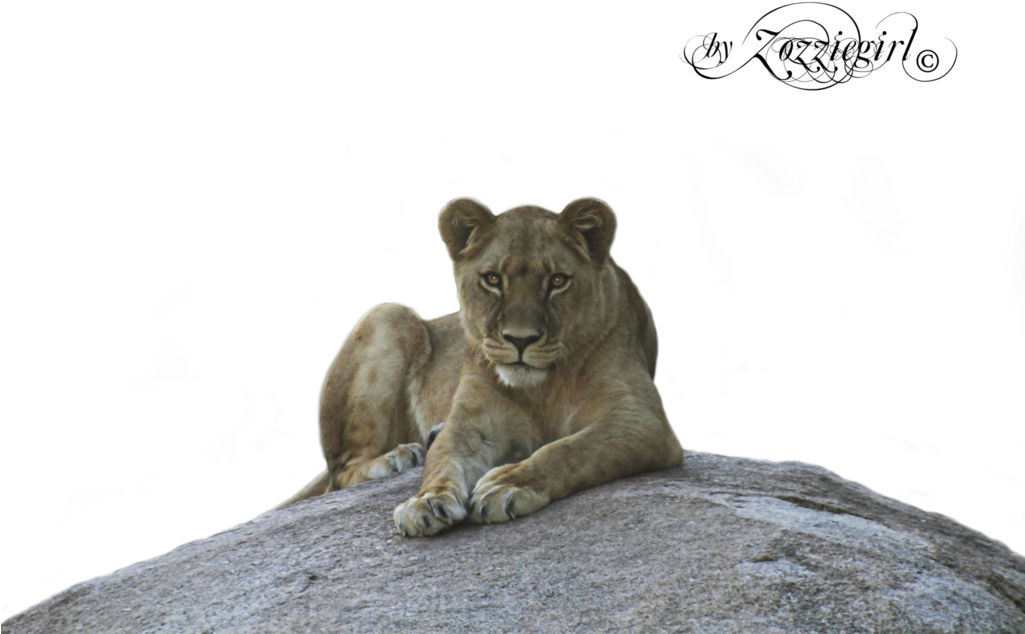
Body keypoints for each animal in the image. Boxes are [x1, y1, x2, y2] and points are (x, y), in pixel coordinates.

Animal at [267, 195, 684, 536]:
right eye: (493, 279)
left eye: (557, 281)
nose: (520, 340)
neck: (541, 388)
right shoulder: (473, 423)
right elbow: (444, 459)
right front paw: (426, 502)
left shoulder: (642, 421)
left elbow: (572, 449)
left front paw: (509, 484)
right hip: (390, 313)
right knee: (342, 472)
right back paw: (400, 457)